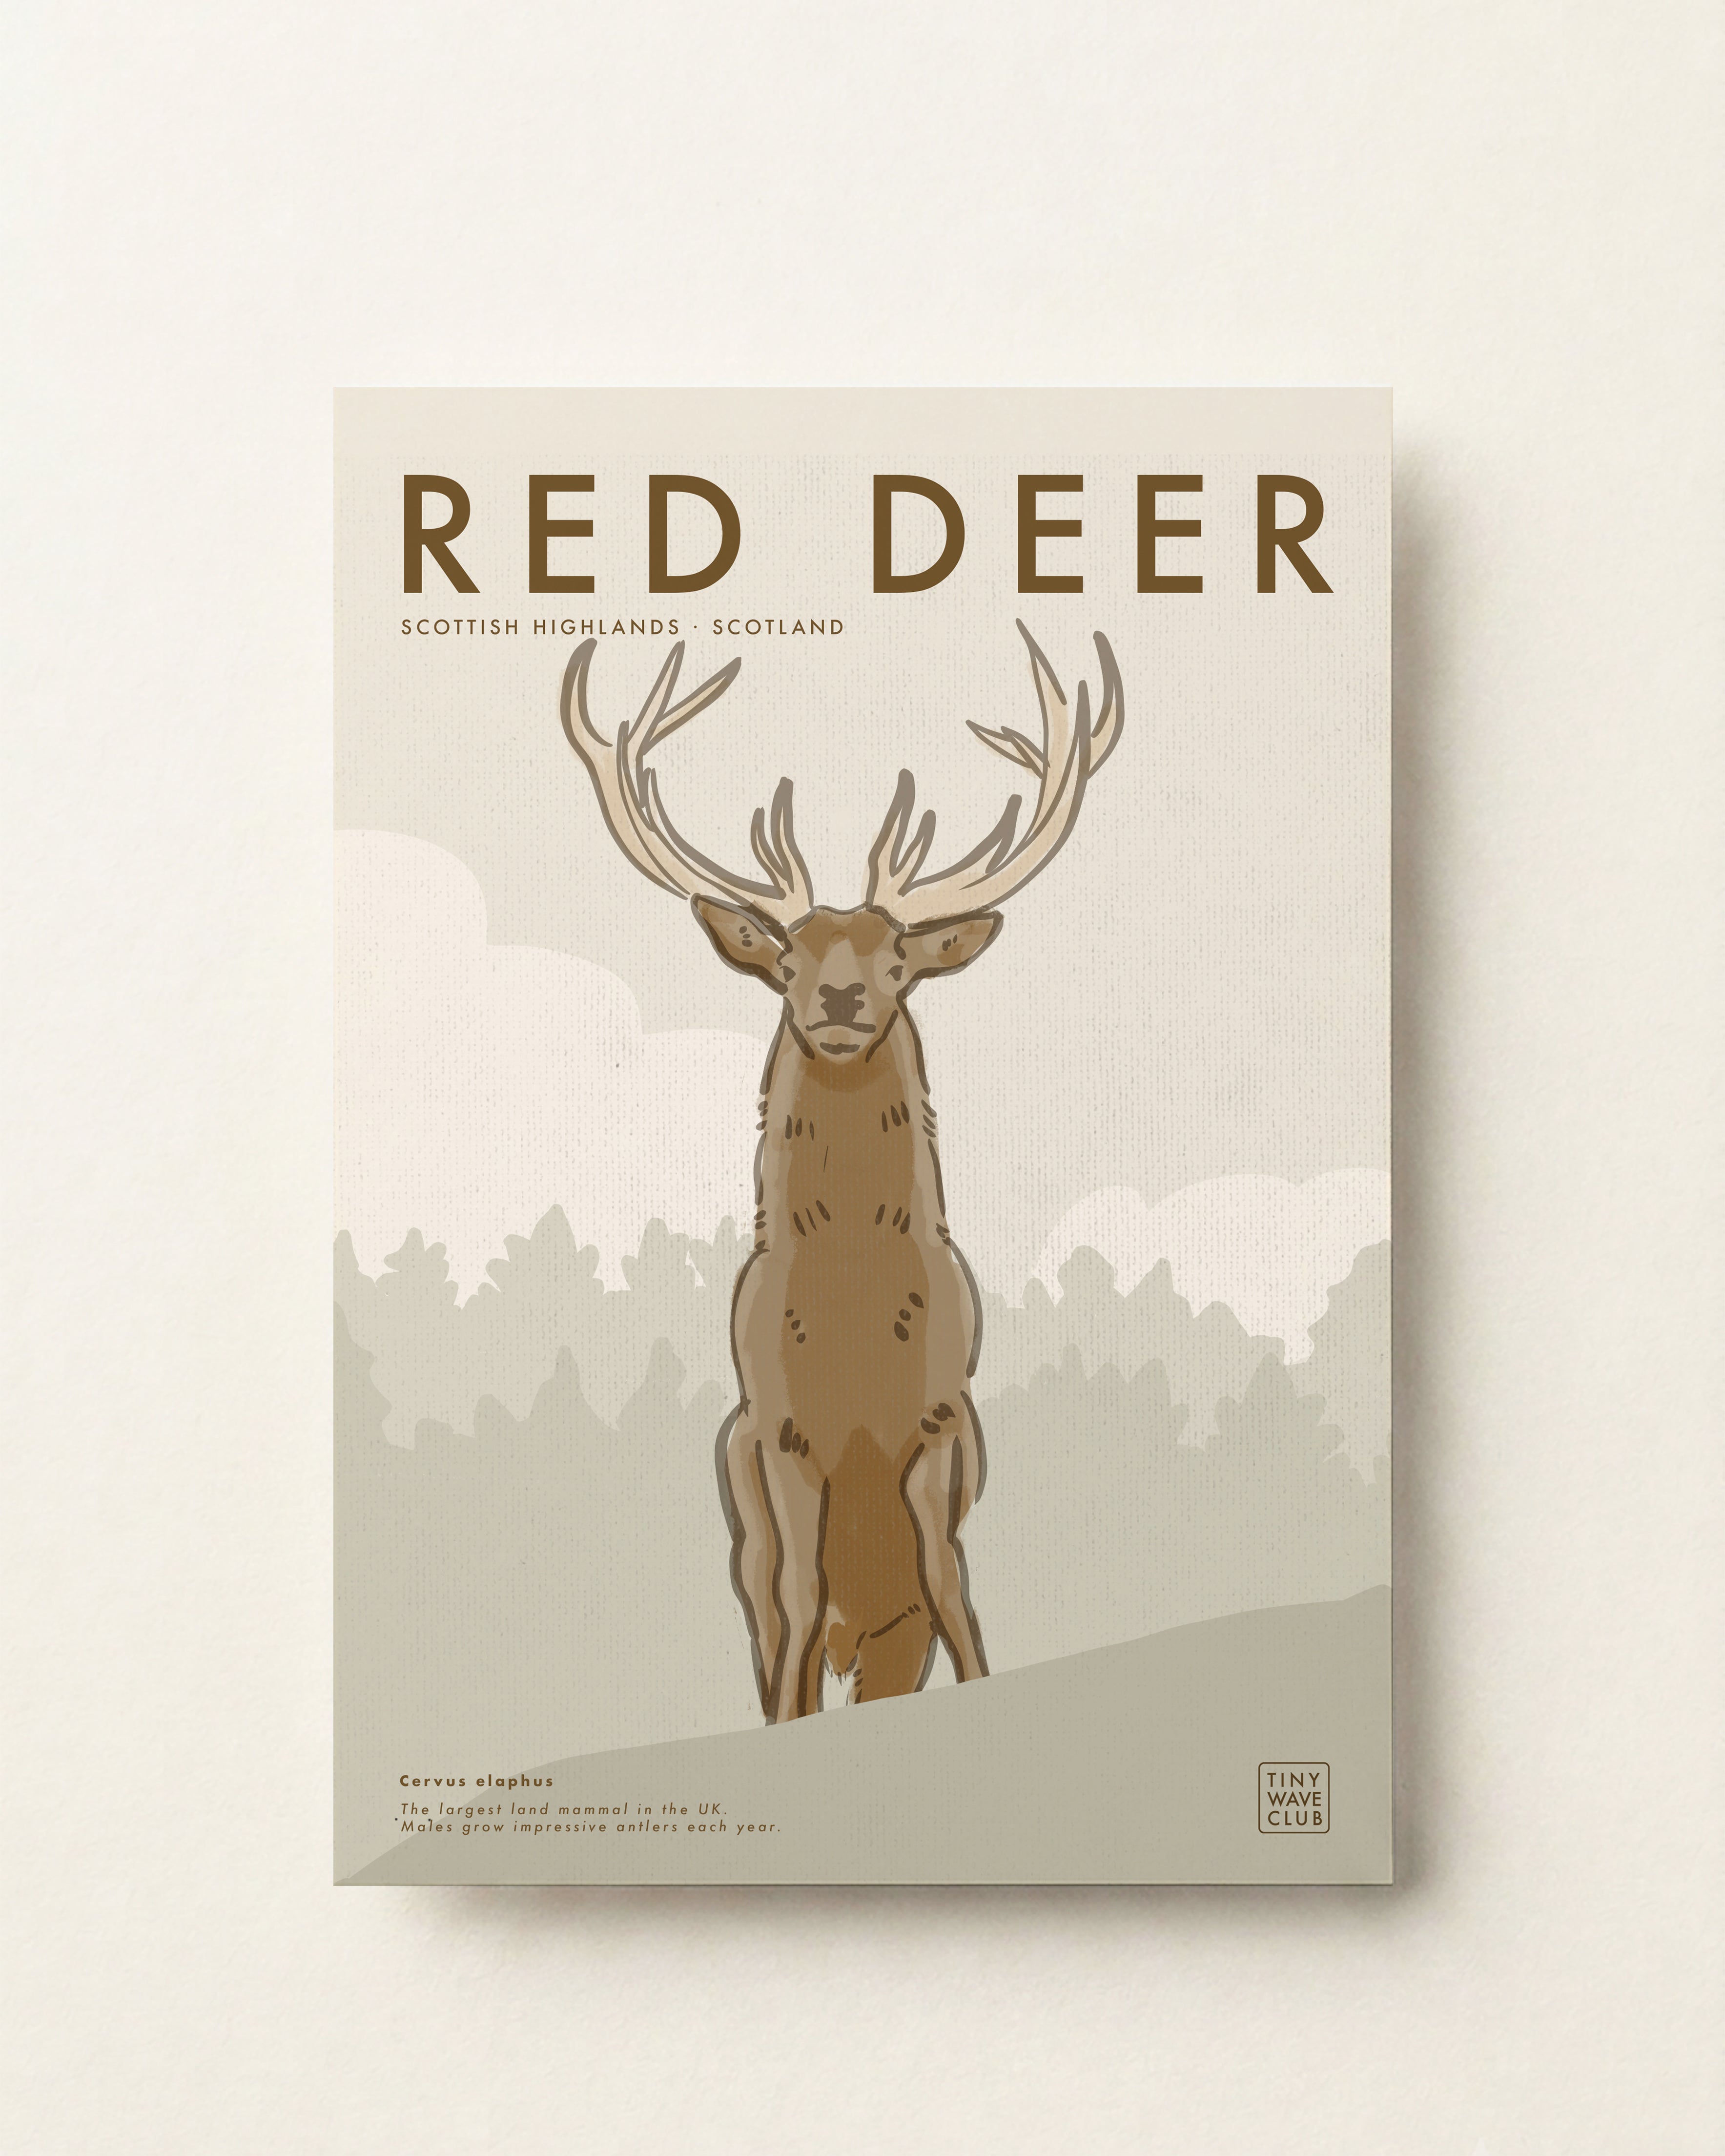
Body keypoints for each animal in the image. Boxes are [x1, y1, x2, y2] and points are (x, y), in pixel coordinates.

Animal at [558, 622, 1123, 1721]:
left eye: (897, 958)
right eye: (787, 961)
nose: (842, 999)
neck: (855, 1321)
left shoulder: (944, 1418)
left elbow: (954, 1589)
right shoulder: (777, 1432)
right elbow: (795, 1602)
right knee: (786, 1624)